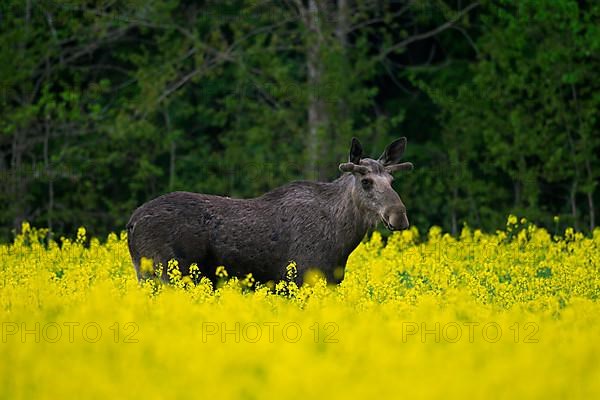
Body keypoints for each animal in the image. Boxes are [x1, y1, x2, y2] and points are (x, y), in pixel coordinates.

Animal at [127, 137, 412, 284]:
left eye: (392, 181)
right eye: (366, 182)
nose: (399, 216)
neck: (342, 239)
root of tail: (130, 224)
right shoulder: (297, 281)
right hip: (162, 274)